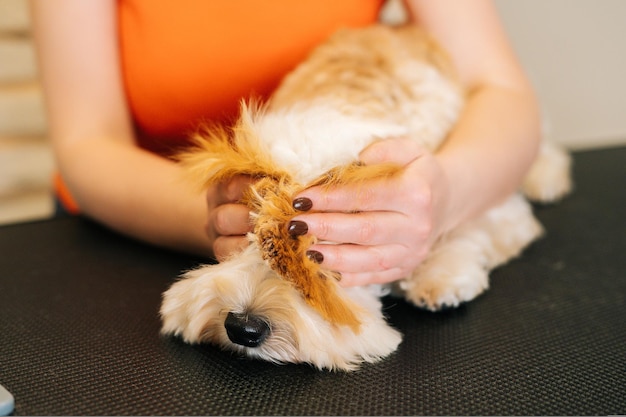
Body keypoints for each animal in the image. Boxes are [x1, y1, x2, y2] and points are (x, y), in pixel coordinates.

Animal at [158, 25, 568, 370]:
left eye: (318, 254)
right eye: (244, 233)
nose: (243, 328)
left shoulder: (498, 208)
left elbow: (466, 229)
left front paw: (441, 274)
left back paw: (548, 176)